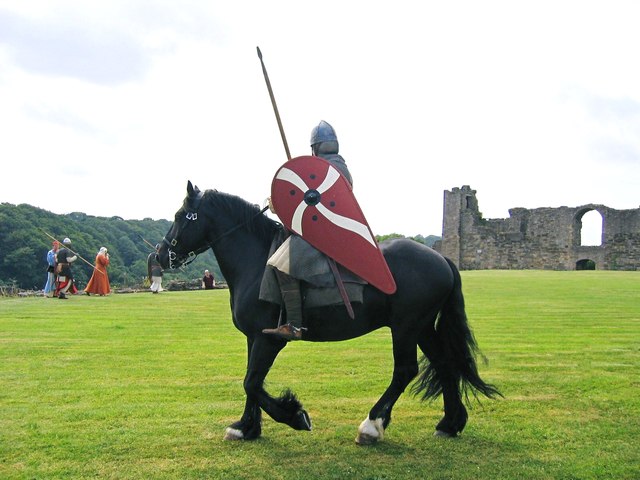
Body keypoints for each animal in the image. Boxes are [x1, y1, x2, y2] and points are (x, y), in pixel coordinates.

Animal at [159, 182, 500, 444]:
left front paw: (294, 416)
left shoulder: (269, 340)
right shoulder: (253, 339)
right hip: (423, 327)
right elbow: (250, 381)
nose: (162, 256)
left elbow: (252, 383)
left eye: (179, 215)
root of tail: (441, 259)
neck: (256, 260)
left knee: (405, 371)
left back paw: (372, 426)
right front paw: (246, 427)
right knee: (444, 364)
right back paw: (449, 424)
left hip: (406, 327)